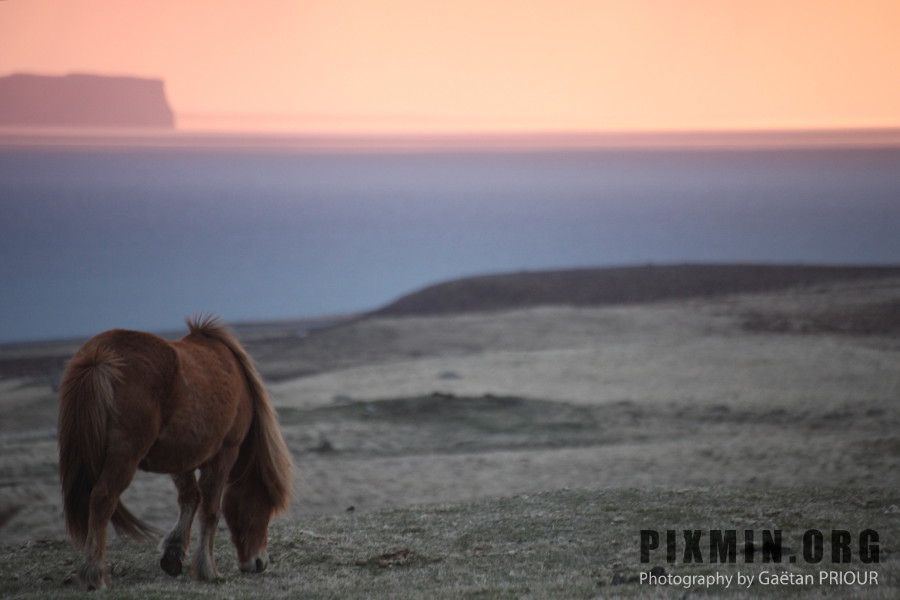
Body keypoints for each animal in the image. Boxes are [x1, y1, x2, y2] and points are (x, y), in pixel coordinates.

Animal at [56, 316, 294, 588]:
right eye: (265, 506)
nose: (258, 563)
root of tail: (99, 359)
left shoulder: (182, 457)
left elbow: (190, 498)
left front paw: (174, 552)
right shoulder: (225, 452)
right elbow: (211, 509)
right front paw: (207, 568)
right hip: (125, 456)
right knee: (102, 499)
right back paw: (94, 574)